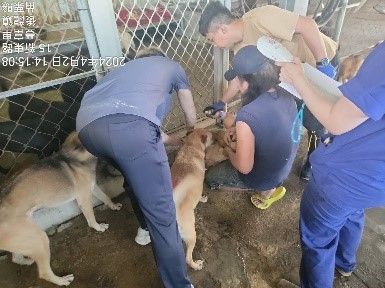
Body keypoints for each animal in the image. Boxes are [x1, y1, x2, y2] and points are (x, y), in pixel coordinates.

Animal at [0, 132, 121, 286]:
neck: (76, 158)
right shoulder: (83, 197)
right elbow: (91, 217)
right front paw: (98, 227)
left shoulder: (93, 188)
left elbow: (105, 197)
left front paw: (113, 206)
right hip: (39, 239)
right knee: (43, 272)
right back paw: (62, 280)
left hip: (24, 240)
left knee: (16, 258)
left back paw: (28, 261)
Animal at [171, 128, 213, 270]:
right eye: (212, 137)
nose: (216, 136)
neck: (190, 146)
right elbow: (200, 196)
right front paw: (203, 199)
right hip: (191, 234)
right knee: (187, 258)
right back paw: (196, 265)